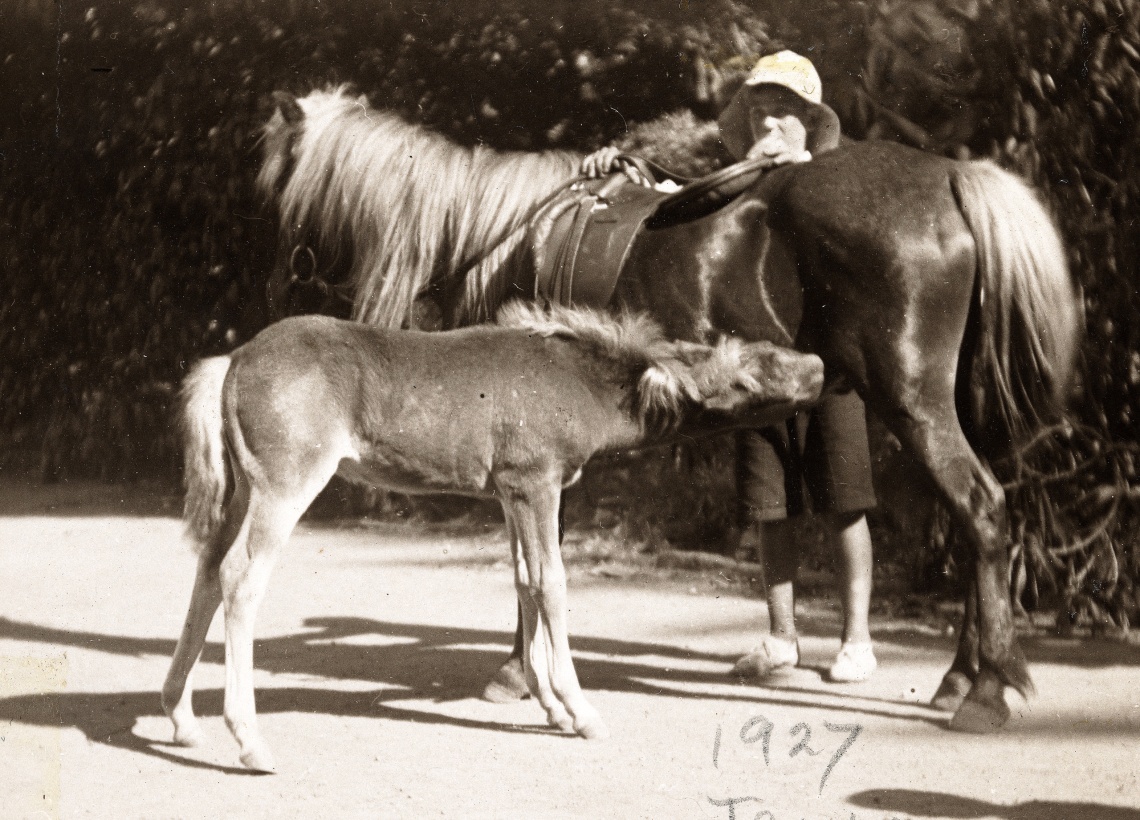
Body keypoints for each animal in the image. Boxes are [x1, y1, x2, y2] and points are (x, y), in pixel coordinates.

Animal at [163, 302, 825, 771]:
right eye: (752, 373)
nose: (818, 367)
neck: (581, 384)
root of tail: (234, 360)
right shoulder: (536, 483)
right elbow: (552, 584)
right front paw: (580, 710)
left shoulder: (509, 492)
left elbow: (524, 581)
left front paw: (550, 705)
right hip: (286, 482)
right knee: (240, 578)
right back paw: (249, 741)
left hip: (242, 489)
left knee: (207, 569)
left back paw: (181, 716)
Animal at [257, 87, 1081, 734]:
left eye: (275, 182)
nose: (279, 271)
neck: (499, 237)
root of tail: (950, 174)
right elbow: (535, 568)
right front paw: (533, 677)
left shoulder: (530, 456)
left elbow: (536, 570)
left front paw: (522, 675)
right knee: (978, 520)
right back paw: (961, 676)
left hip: (911, 402)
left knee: (982, 510)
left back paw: (988, 692)